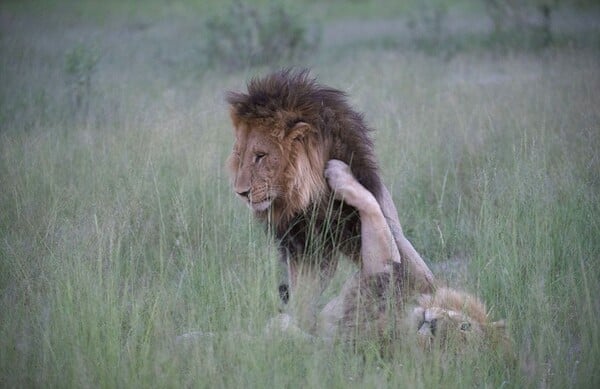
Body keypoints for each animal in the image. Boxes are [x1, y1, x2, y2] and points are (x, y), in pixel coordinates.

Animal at [227, 69, 434, 316]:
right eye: (239, 156)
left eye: (260, 156)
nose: (240, 192)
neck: (316, 201)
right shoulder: (306, 254)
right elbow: (302, 305)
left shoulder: (418, 272)